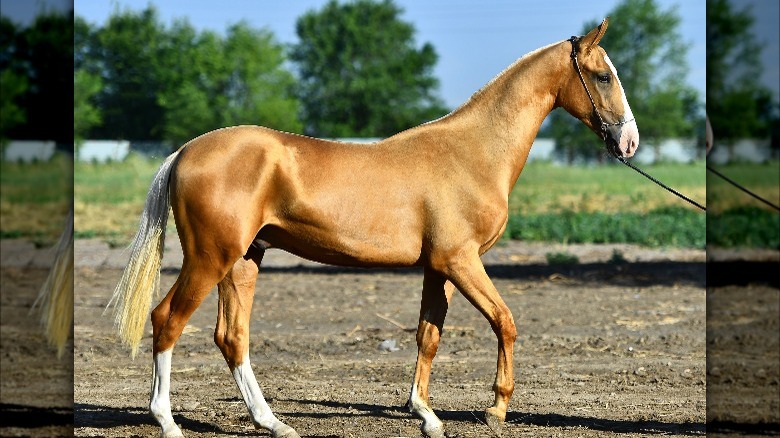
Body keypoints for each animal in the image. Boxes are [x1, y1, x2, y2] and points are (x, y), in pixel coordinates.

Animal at [108, 18, 640, 438]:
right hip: (210, 258)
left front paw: (426, 415)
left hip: (243, 261)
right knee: (167, 320)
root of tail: (185, 151)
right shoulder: (461, 261)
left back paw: (274, 423)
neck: (473, 151)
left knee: (231, 337)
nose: (630, 142)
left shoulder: (439, 267)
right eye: (603, 75)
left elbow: (429, 335)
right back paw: (168, 422)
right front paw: (496, 408)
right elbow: (504, 321)